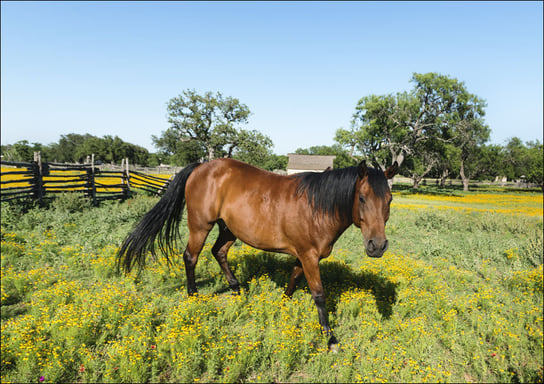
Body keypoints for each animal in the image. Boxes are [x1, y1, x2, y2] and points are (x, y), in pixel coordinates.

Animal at [117, 157, 398, 348]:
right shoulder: (309, 256)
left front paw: (283, 304)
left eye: (390, 199)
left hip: (229, 229)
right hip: (200, 225)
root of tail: (200, 167)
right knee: (191, 257)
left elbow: (293, 279)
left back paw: (237, 289)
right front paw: (329, 338)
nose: (377, 245)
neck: (317, 207)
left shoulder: (303, 255)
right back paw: (194, 295)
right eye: (362, 198)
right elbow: (319, 295)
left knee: (218, 252)